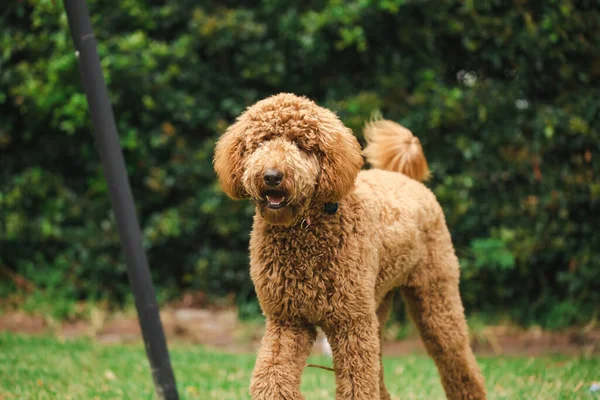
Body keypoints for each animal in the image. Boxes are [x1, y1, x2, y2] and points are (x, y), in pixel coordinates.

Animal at [213, 93, 486, 400]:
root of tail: (407, 179)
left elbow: (358, 384)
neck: (304, 230)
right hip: (377, 305)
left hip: (435, 298)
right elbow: (271, 379)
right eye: (261, 142)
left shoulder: (351, 324)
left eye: (300, 144)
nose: (271, 176)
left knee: (455, 356)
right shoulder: (288, 321)